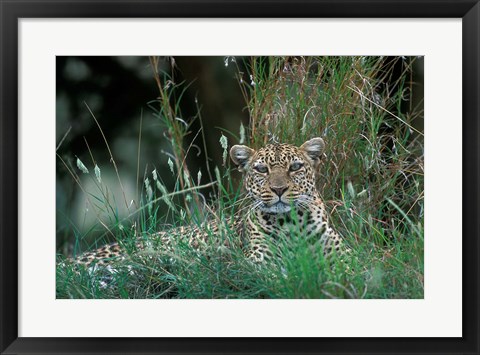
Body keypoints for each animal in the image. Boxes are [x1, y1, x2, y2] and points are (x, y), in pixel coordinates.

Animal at [67, 138, 344, 268]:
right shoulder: (258, 262)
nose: (278, 189)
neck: (291, 223)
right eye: (261, 169)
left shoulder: (344, 256)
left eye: (295, 167)